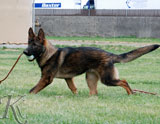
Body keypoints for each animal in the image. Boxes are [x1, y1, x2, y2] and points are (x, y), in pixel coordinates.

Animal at [23, 27, 159, 95]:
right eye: (28, 43)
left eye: (34, 45)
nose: (24, 52)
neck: (48, 53)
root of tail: (110, 54)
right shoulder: (69, 78)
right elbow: (73, 89)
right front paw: (76, 96)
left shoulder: (46, 79)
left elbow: (33, 90)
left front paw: (27, 96)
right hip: (91, 79)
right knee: (95, 92)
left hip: (107, 80)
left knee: (124, 81)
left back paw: (131, 93)